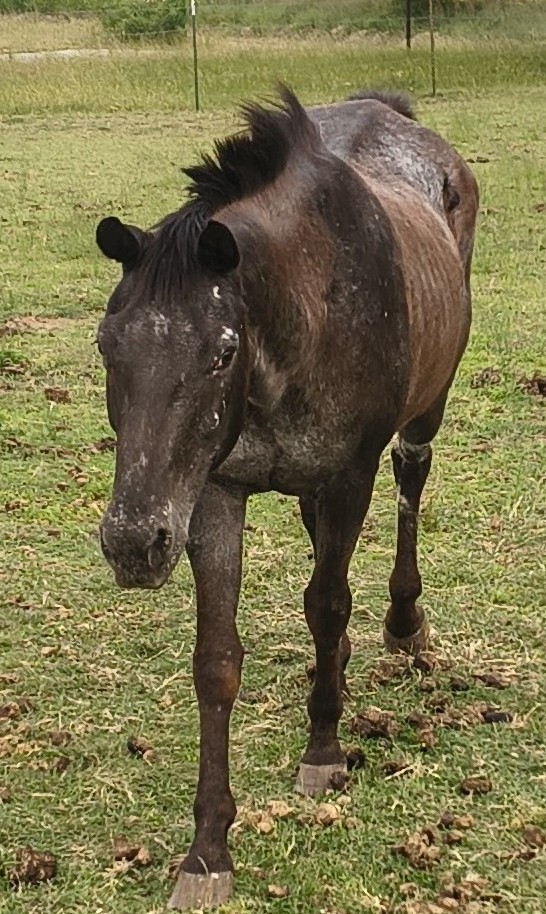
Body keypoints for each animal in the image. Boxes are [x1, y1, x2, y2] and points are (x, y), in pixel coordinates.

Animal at [95, 86, 478, 909]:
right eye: (107, 345)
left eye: (222, 352)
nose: (134, 542)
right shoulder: (212, 493)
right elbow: (216, 659)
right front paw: (208, 850)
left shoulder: (348, 476)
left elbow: (328, 604)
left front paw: (324, 749)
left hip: (423, 413)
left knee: (411, 479)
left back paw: (403, 621)